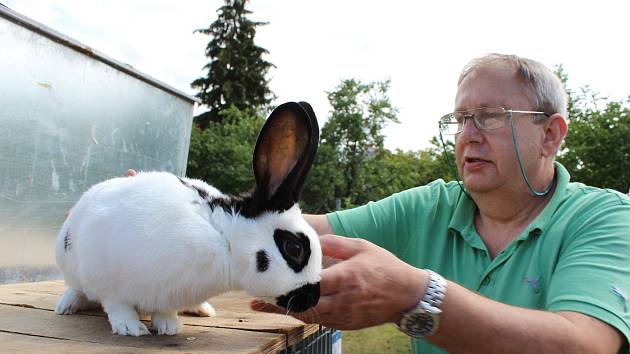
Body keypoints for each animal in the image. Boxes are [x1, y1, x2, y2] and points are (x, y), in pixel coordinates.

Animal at [53, 101, 326, 336]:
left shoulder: (167, 294)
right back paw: (67, 305)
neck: (224, 241)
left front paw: (169, 326)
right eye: (294, 248)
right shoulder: (103, 274)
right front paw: (131, 328)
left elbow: (163, 310)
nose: (313, 297)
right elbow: (117, 304)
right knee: (78, 288)